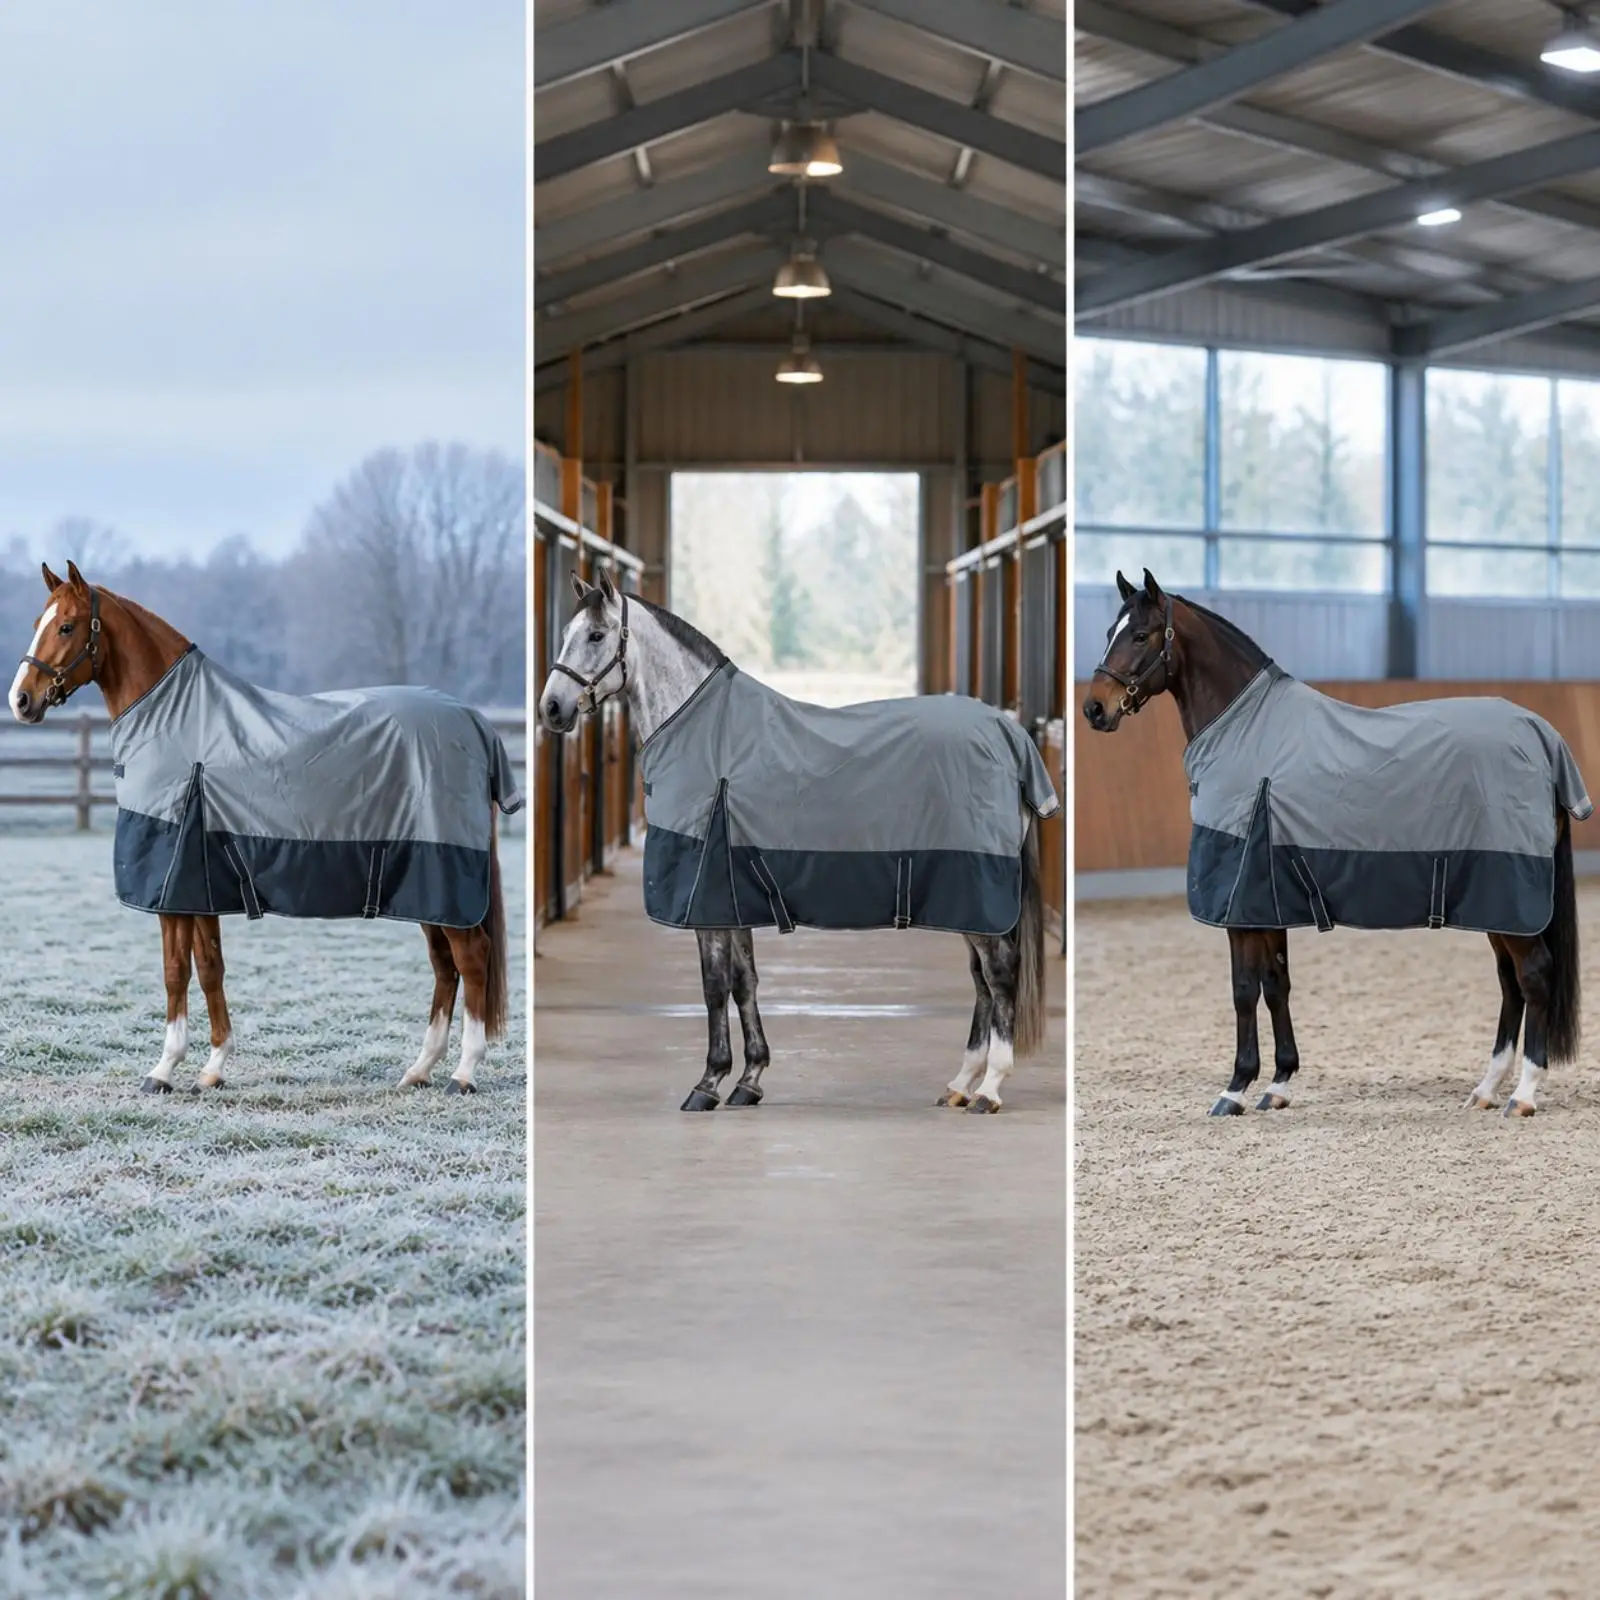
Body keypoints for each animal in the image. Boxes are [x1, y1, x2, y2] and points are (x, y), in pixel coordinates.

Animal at [9, 561, 517, 1096]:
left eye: (67, 627)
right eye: (38, 623)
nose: (21, 700)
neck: (181, 722)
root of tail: (475, 722)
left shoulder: (178, 885)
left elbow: (186, 970)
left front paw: (178, 1068)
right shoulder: (193, 889)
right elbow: (200, 969)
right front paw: (196, 1069)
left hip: (444, 879)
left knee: (471, 958)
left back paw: (463, 1073)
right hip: (426, 890)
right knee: (444, 966)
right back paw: (419, 1069)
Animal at [537, 568, 1058, 1114]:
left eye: (597, 636)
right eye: (567, 634)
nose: (551, 709)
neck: (710, 735)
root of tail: (1007, 735)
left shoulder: (707, 901)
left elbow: (714, 986)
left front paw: (707, 1083)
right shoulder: (732, 899)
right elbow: (744, 982)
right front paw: (749, 1080)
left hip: (978, 891)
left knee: (1000, 974)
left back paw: (990, 1089)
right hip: (967, 900)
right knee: (981, 979)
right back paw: (961, 1083)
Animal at [1083, 568, 1588, 1119]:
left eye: (1140, 635)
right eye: (1109, 630)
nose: (1094, 708)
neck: (1248, 735)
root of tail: (1542, 735)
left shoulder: (1240, 908)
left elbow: (1243, 990)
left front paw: (1234, 1089)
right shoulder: (1267, 902)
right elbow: (1275, 986)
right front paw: (1278, 1084)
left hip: (1509, 899)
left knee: (1534, 976)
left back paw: (1523, 1095)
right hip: (1497, 906)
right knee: (1509, 982)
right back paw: (1486, 1088)